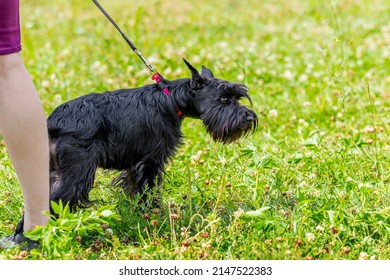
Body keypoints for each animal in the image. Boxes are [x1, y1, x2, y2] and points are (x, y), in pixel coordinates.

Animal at [47, 59, 258, 212]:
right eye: (224, 98)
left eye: (237, 97)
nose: (249, 117)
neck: (171, 99)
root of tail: (53, 121)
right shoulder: (150, 162)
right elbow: (148, 190)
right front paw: (153, 212)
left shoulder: (135, 165)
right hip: (77, 173)